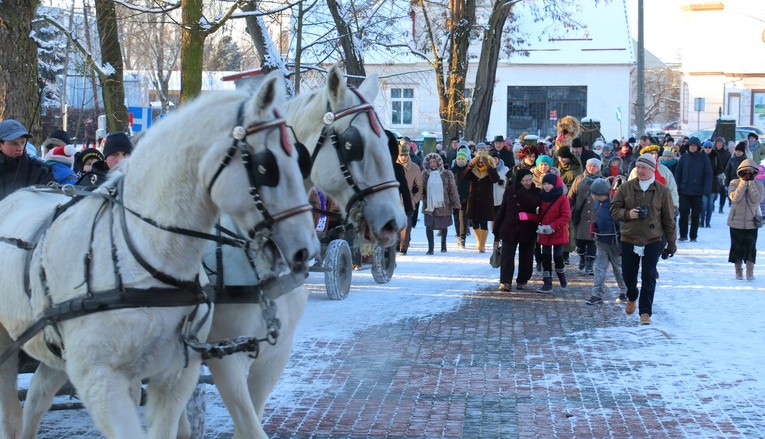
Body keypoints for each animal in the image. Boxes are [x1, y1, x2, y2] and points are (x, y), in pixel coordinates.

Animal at [0, 70, 320, 438]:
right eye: (267, 167)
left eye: (300, 159)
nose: (306, 249)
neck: (144, 260)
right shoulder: (100, 380)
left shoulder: (176, 374)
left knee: (38, 395)